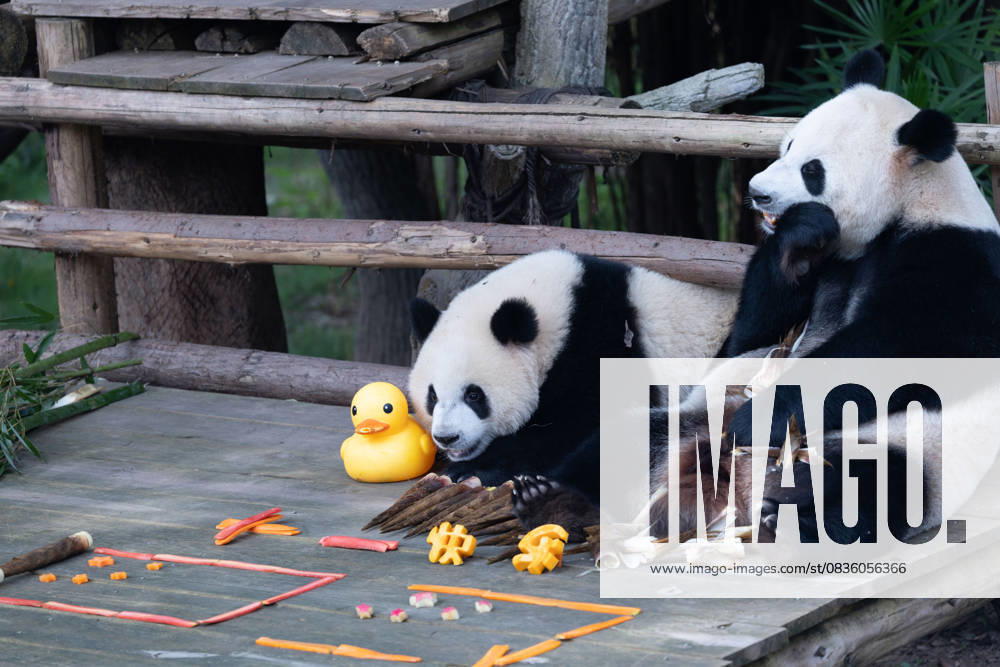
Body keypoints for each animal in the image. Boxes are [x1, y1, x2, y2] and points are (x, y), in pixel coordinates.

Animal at [409, 250, 737, 537]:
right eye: (432, 396)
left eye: (474, 395)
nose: (447, 437)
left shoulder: (601, 346)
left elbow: (571, 427)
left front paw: (470, 471)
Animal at [658, 50, 1000, 544]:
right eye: (788, 145)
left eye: (812, 170)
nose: (757, 192)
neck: (912, 202)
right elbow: (751, 336)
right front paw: (799, 239)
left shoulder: (957, 264)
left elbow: (897, 351)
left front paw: (757, 419)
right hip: (699, 410)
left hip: (910, 450)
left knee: (873, 482)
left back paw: (788, 508)